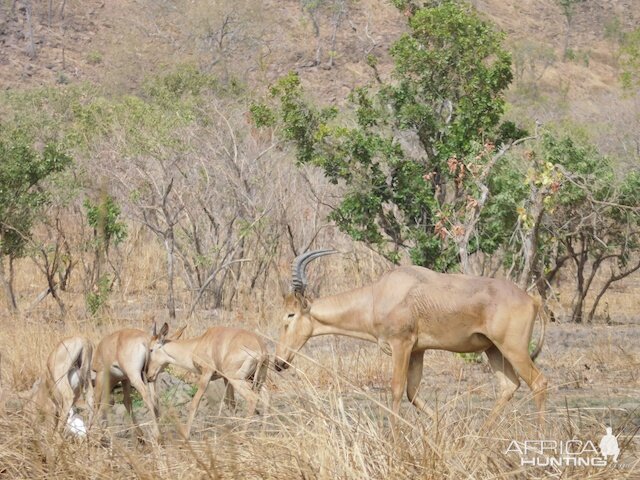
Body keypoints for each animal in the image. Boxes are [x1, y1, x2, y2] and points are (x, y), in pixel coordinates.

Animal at [272, 249, 548, 426]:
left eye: (290, 315)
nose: (278, 363)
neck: (379, 294)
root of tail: (532, 299)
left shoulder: (401, 346)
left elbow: (395, 390)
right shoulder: (417, 351)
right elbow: (412, 392)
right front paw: (444, 427)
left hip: (513, 349)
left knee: (539, 382)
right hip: (493, 349)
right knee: (509, 386)